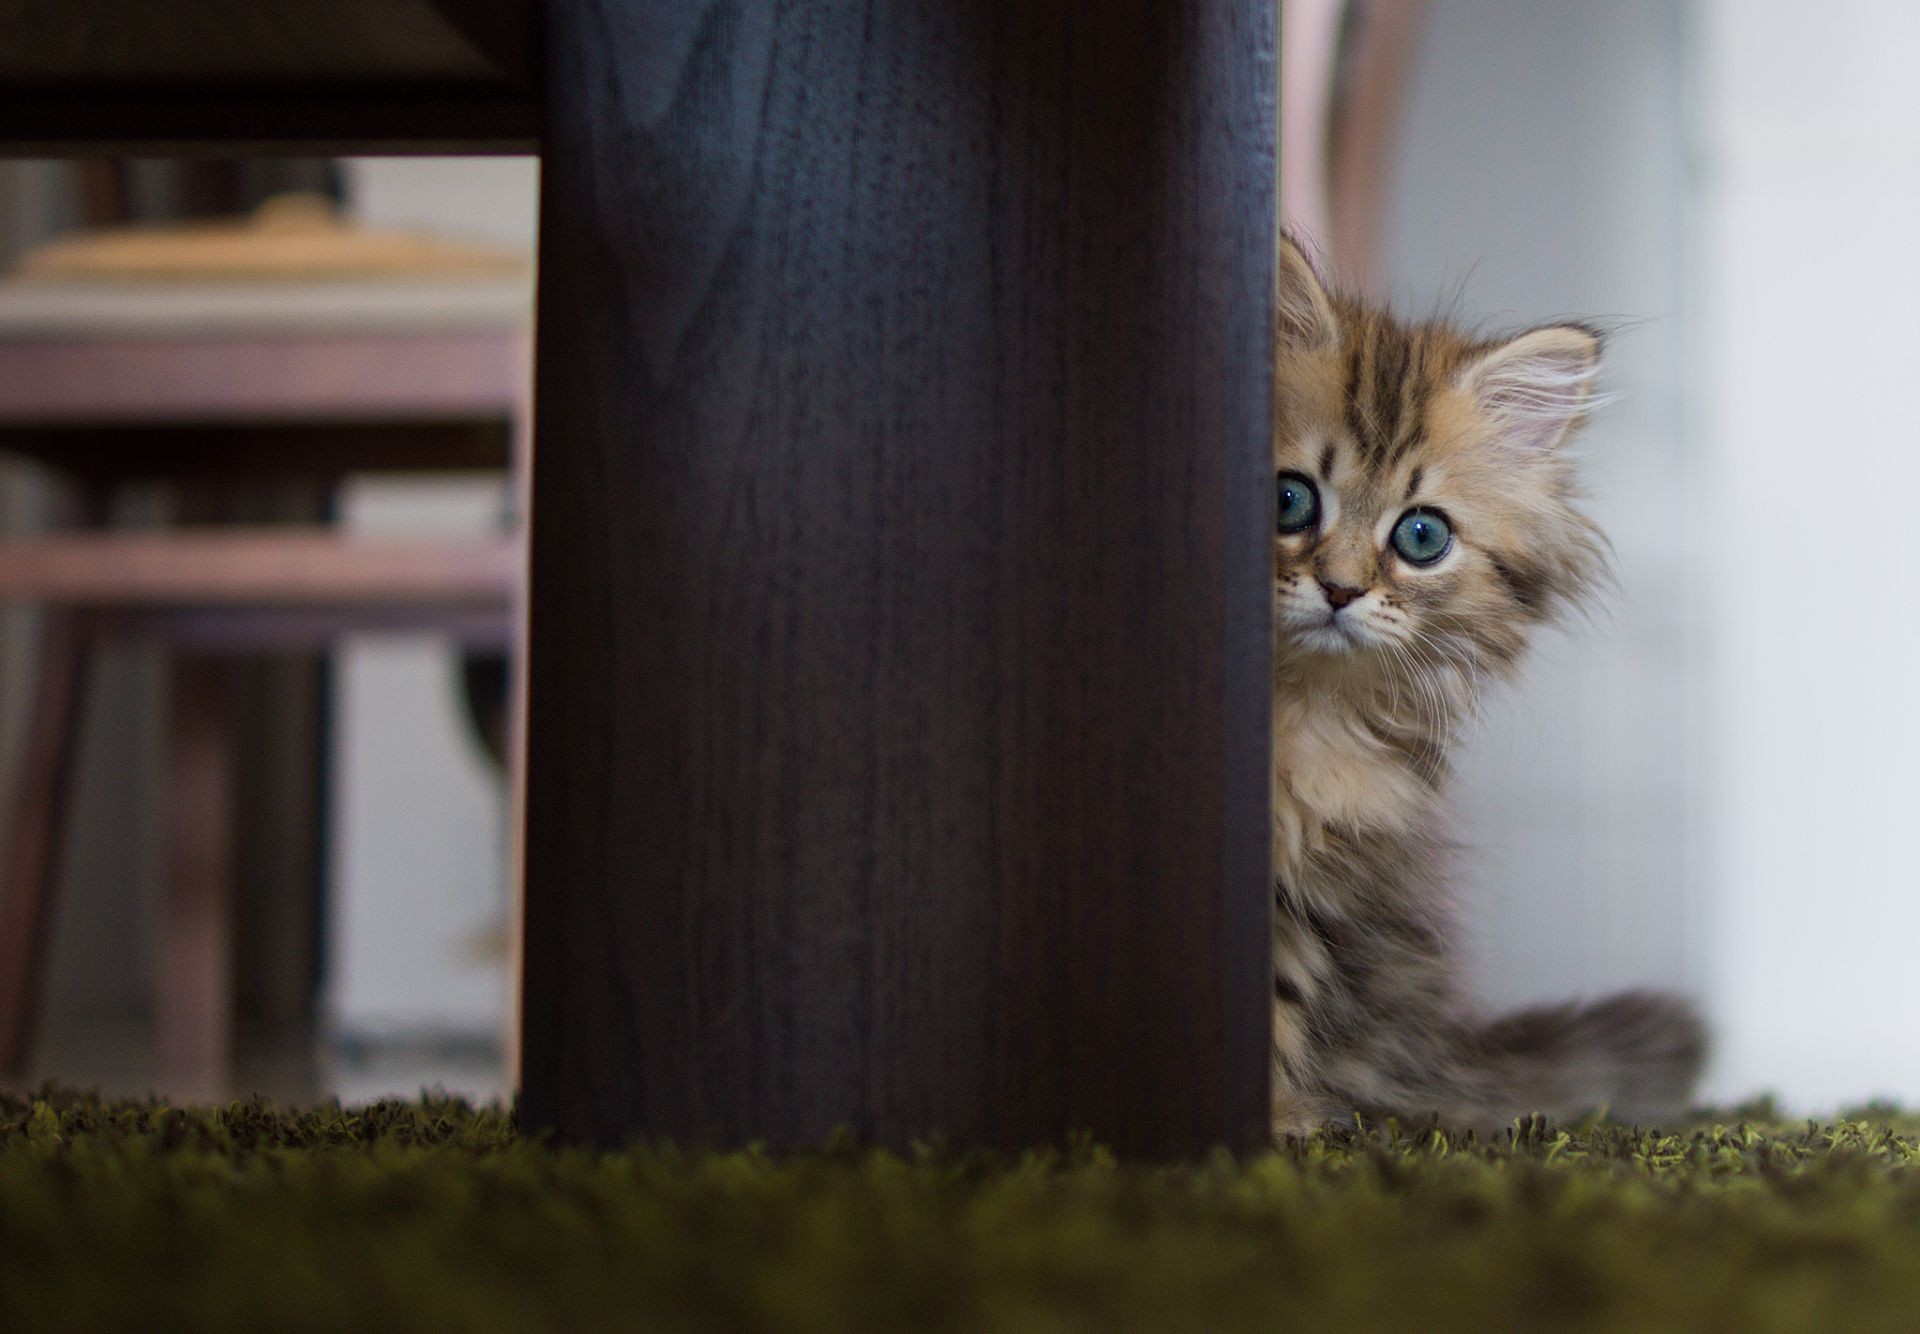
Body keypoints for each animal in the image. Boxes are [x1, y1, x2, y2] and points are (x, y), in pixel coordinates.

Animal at [1267, 239, 1704, 1136]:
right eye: (1289, 499)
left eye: (1420, 537)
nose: (1339, 590)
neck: (1300, 711)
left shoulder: (1318, 883)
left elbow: (1282, 998)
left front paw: (1278, 1120)